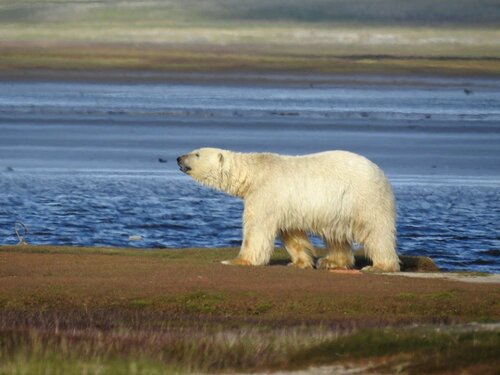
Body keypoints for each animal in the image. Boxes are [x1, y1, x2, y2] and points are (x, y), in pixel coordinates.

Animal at [178, 148, 400, 274]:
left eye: (197, 153)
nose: (179, 158)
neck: (254, 173)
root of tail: (381, 173)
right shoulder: (285, 205)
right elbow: (291, 233)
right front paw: (300, 262)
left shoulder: (265, 194)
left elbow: (256, 229)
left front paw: (237, 260)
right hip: (337, 209)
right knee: (335, 235)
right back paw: (331, 262)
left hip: (365, 198)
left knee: (376, 231)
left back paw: (380, 265)